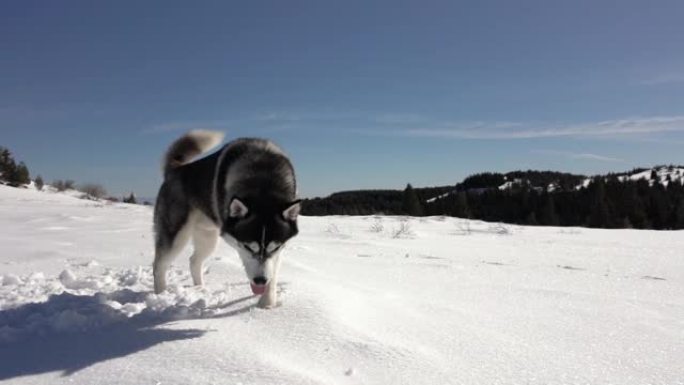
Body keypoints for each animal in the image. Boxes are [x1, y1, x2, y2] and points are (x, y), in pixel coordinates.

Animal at [154, 130, 300, 308]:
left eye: (275, 247)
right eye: (248, 247)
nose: (260, 280)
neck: (264, 181)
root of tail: (175, 169)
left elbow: (273, 272)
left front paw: (267, 305)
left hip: (207, 237)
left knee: (194, 260)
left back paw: (200, 289)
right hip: (176, 235)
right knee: (159, 265)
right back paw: (160, 295)